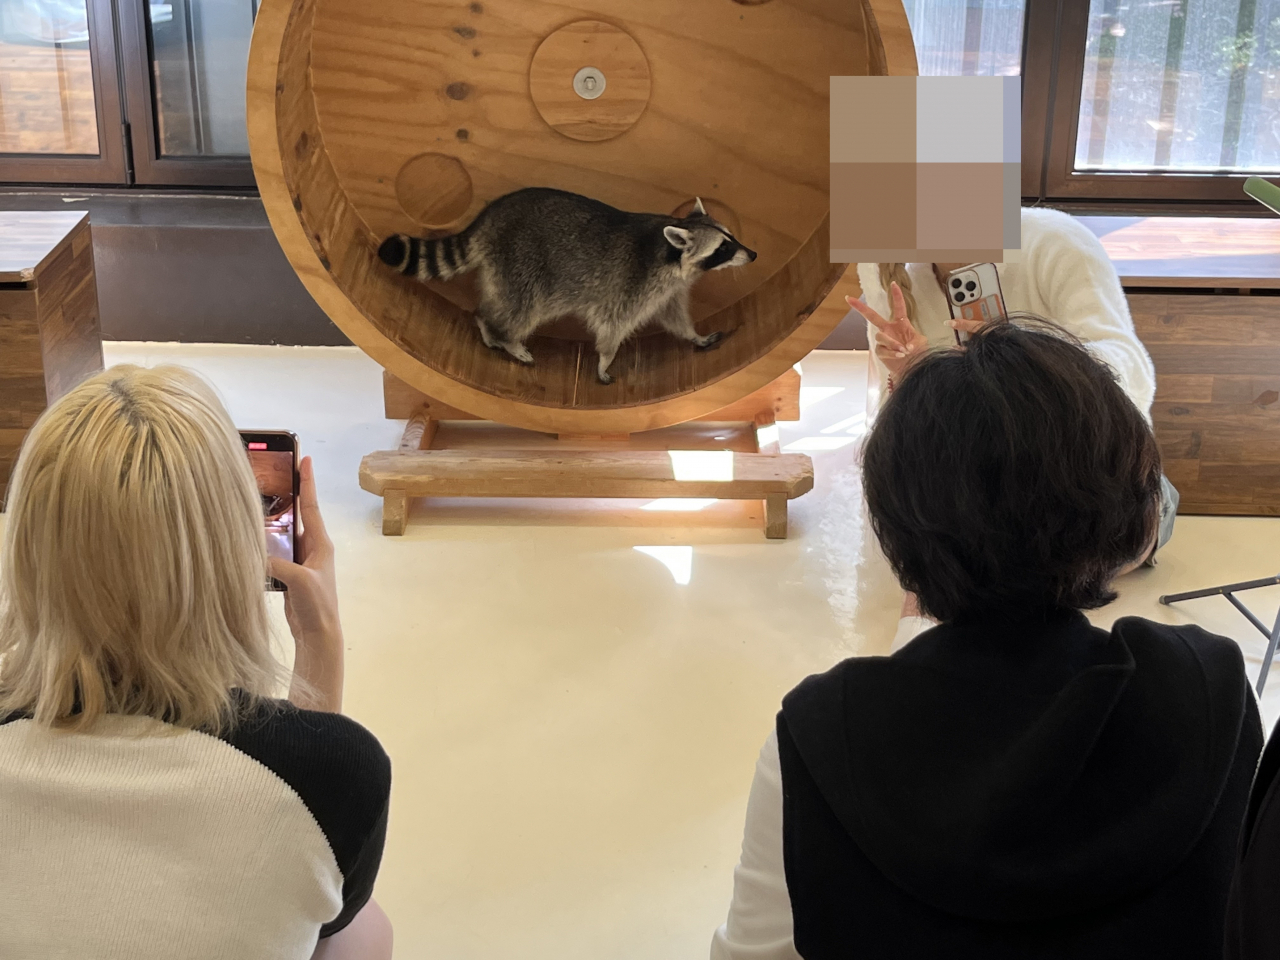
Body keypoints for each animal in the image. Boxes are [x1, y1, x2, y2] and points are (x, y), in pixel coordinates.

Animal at [373, 188, 752, 384]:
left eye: (731, 237)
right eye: (723, 248)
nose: (753, 254)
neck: (671, 255)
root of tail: (489, 218)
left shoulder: (668, 289)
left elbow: (674, 316)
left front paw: (693, 335)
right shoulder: (632, 284)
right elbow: (612, 324)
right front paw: (605, 360)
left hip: (505, 266)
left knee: (497, 300)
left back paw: (484, 321)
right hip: (524, 260)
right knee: (523, 307)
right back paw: (506, 336)